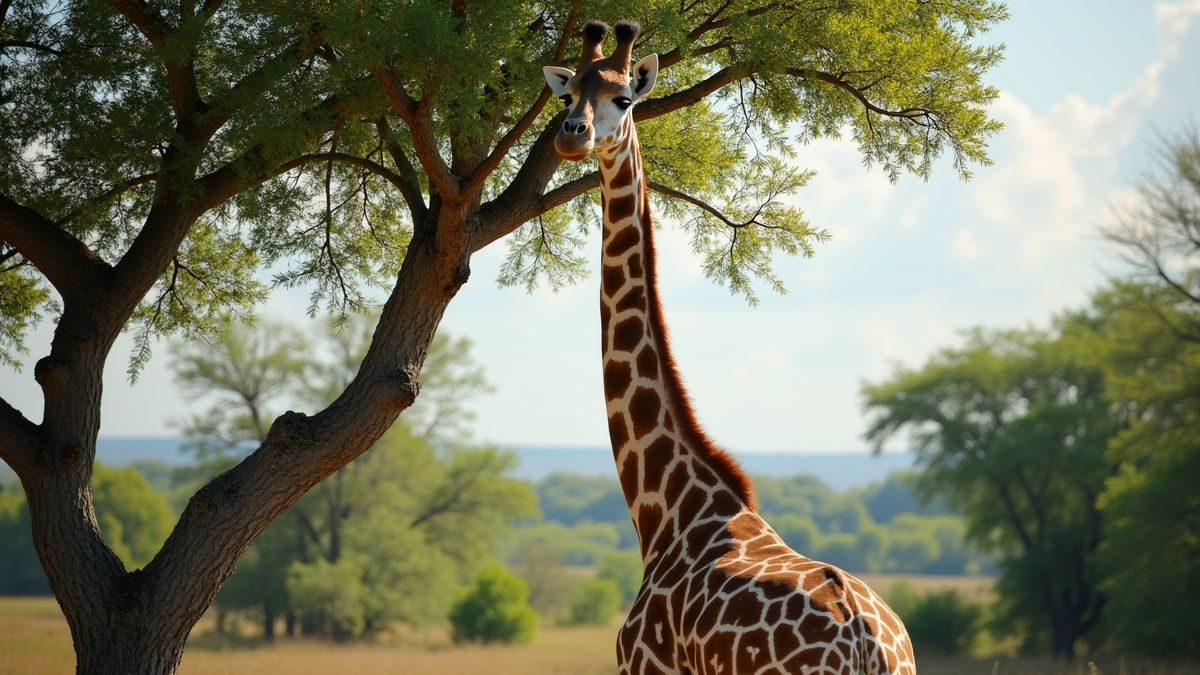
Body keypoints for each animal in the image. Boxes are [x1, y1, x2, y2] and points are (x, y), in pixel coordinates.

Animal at [543, 20, 917, 675]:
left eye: (625, 98)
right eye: (568, 95)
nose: (573, 135)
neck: (667, 513)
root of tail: (866, 642)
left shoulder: (645, 665)